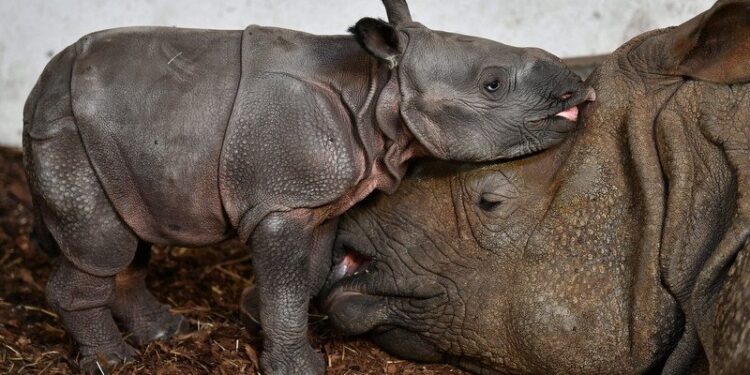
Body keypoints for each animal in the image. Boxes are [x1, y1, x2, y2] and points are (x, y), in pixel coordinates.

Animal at [23, 1, 596, 374]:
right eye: (492, 84)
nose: (578, 90)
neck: (378, 90)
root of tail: (37, 89)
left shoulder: (316, 199)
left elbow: (307, 276)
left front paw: (276, 333)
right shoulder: (283, 202)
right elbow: (287, 282)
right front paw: (299, 368)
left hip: (115, 140)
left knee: (128, 235)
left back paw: (167, 333)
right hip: (70, 134)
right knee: (103, 245)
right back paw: (113, 362)